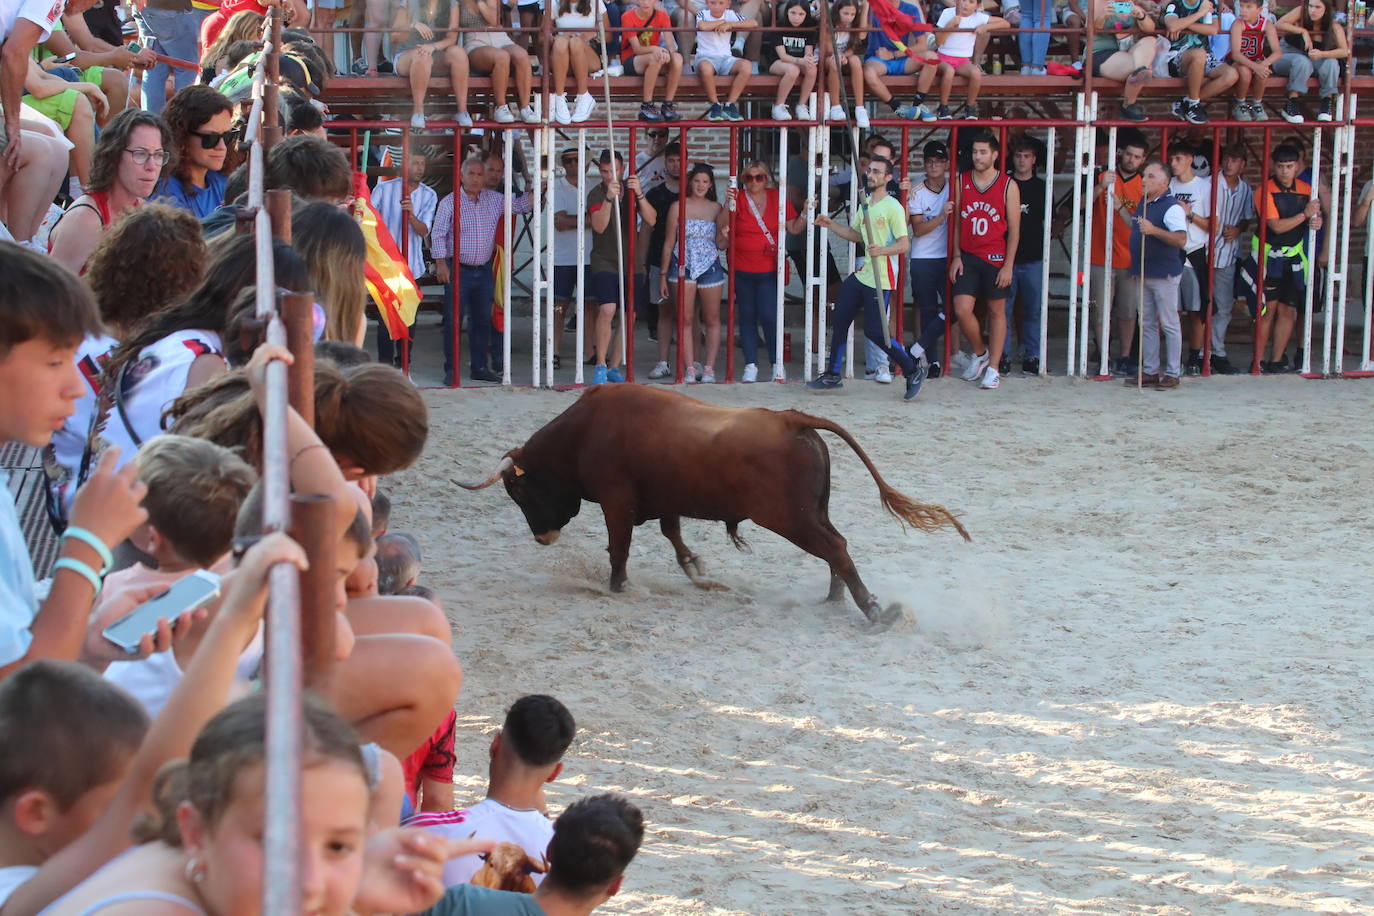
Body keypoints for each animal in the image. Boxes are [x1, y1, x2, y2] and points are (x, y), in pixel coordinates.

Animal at [453, 384, 967, 626]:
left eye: (519, 492)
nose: (543, 537)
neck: (583, 433)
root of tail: (791, 420)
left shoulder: (617, 503)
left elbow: (619, 548)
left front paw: (618, 588)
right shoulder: (665, 500)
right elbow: (672, 534)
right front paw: (697, 570)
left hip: (789, 518)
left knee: (835, 549)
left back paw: (874, 612)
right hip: (811, 513)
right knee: (836, 546)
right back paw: (836, 598)